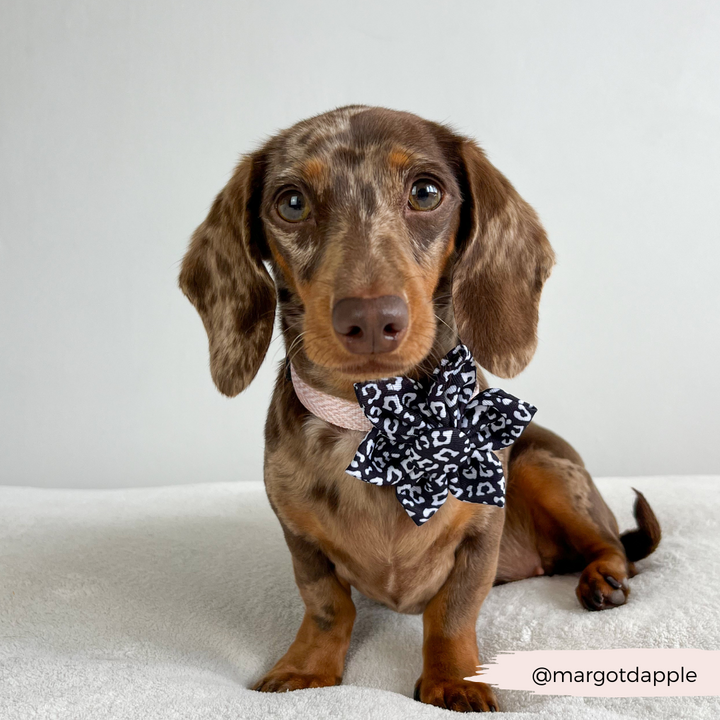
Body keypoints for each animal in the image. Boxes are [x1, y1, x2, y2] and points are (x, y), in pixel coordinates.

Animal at [179, 107, 660, 716]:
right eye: (291, 202)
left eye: (426, 192)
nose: (369, 320)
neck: (377, 420)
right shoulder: (298, 535)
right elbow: (327, 603)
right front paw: (306, 667)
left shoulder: (481, 531)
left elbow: (452, 612)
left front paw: (454, 682)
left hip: (542, 467)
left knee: (614, 547)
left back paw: (603, 580)